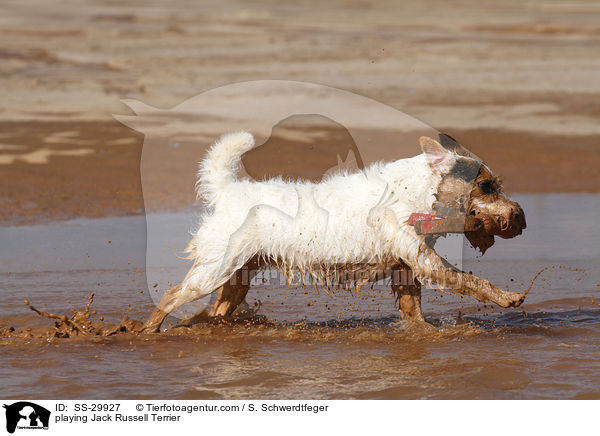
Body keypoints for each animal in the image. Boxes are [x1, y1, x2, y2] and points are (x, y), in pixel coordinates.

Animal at [143, 133, 528, 330]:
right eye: (487, 187)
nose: (519, 216)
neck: (418, 191)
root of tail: (228, 191)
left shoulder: (406, 267)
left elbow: (414, 310)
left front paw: (423, 334)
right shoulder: (424, 260)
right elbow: (470, 281)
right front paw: (508, 297)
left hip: (238, 275)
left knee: (218, 310)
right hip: (214, 270)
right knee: (171, 296)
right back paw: (145, 332)